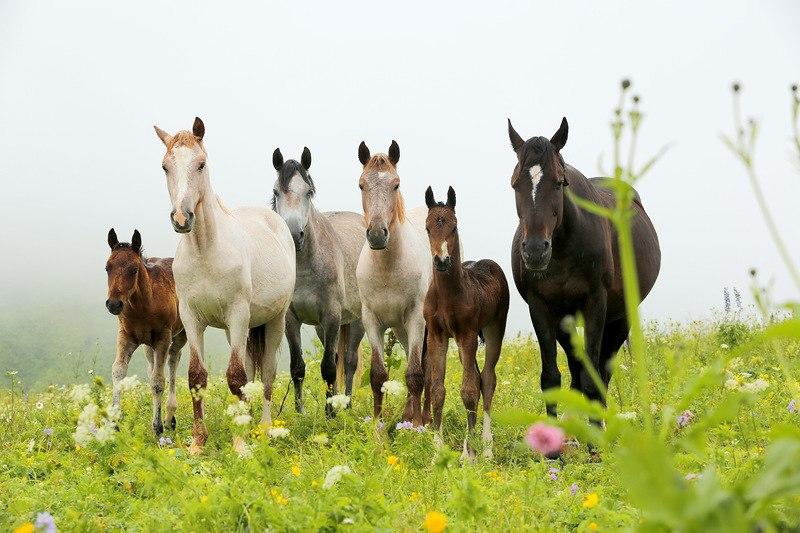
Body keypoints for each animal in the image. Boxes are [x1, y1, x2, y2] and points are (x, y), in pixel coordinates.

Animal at [154, 117, 296, 454]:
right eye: (165, 166)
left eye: (201, 164)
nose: (182, 217)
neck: (206, 251)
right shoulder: (192, 319)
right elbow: (197, 377)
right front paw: (198, 442)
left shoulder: (237, 314)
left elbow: (235, 378)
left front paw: (240, 443)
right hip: (241, 331)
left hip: (273, 320)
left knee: (266, 373)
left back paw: (263, 428)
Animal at [272, 148, 366, 414]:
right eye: (276, 192)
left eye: (309, 192)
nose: (294, 235)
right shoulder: (291, 320)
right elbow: (297, 367)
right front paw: (301, 412)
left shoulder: (332, 316)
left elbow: (329, 368)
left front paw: (331, 413)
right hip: (321, 327)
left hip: (357, 321)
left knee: (349, 361)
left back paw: (346, 405)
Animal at [356, 140, 432, 424]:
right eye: (362, 185)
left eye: (396, 184)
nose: (377, 234)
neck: (387, 269)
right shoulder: (372, 320)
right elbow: (378, 375)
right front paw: (378, 427)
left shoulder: (416, 319)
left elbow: (415, 374)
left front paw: (417, 426)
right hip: (400, 329)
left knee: (430, 369)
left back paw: (424, 416)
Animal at [422, 187, 510, 462]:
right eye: (428, 227)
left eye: (454, 226)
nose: (441, 260)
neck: (448, 295)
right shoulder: (437, 336)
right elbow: (437, 391)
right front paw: (437, 452)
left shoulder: (467, 334)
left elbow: (468, 391)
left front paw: (467, 453)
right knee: (479, 378)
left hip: (494, 329)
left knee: (488, 380)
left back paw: (487, 447)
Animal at [506, 118, 664, 414]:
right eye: (515, 184)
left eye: (559, 183)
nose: (534, 251)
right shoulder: (542, 307)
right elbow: (552, 379)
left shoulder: (596, 303)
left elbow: (592, 381)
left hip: (620, 318)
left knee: (601, 373)